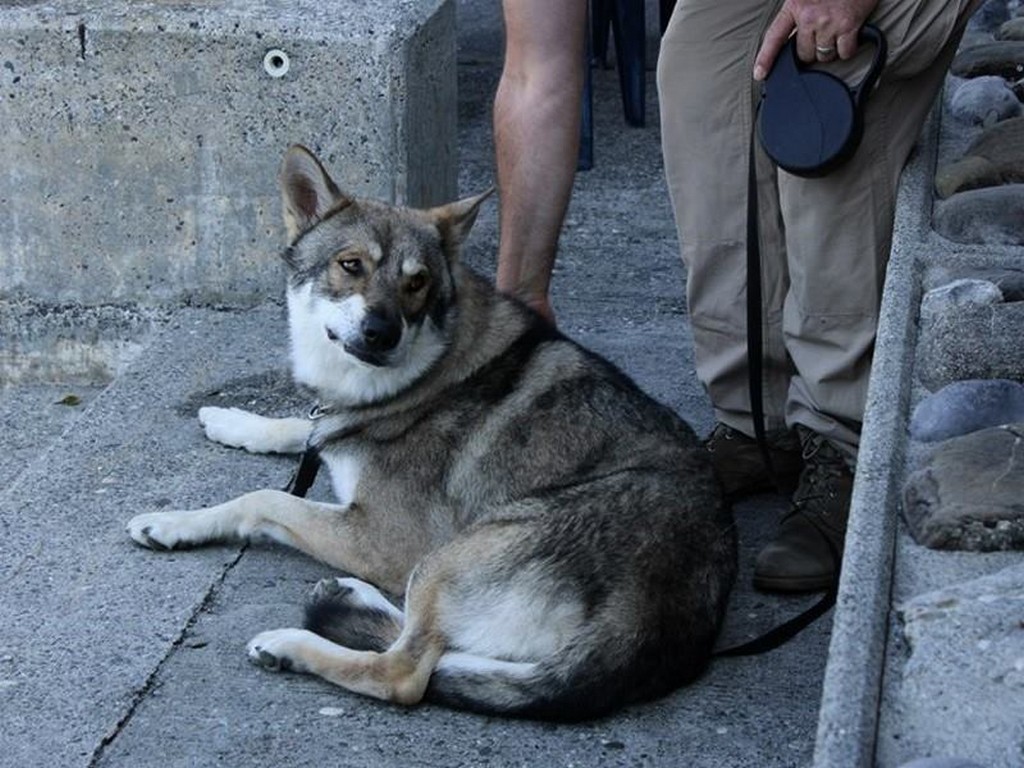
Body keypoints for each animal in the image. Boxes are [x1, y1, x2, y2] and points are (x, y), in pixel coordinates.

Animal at [125, 145, 737, 720]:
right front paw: (233, 421)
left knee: (404, 671)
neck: (422, 369)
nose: (382, 331)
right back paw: (347, 595)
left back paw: (292, 644)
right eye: (350, 265)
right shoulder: (338, 432)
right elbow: (302, 428)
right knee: (430, 646)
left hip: (451, 554)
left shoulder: (381, 537)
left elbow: (264, 499)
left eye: (416, 283)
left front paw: (172, 522)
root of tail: (648, 621)